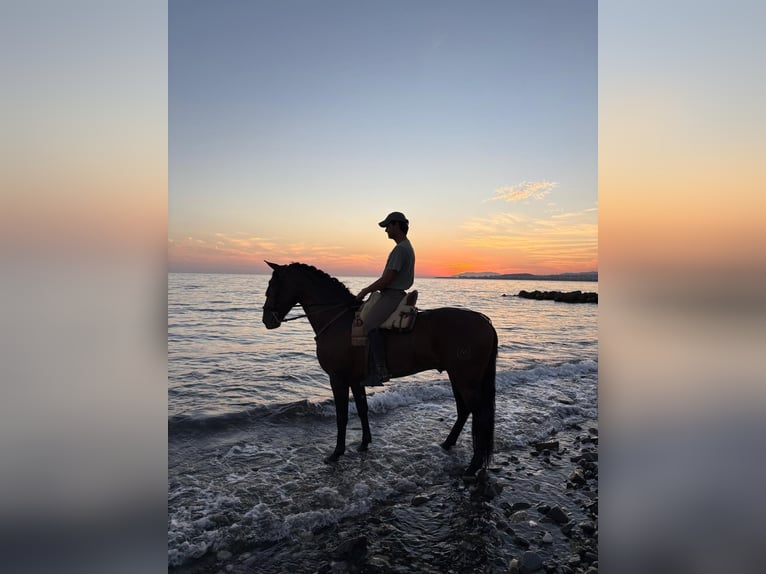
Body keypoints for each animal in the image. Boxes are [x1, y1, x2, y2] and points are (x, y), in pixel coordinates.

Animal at [261, 261, 498, 476]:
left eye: (273, 284)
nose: (266, 319)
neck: (338, 321)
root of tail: (484, 321)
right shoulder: (355, 379)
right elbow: (362, 409)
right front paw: (364, 443)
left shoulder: (338, 379)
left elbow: (342, 416)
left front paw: (336, 453)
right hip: (457, 376)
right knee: (464, 410)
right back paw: (448, 443)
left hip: (466, 380)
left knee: (480, 416)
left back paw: (473, 465)